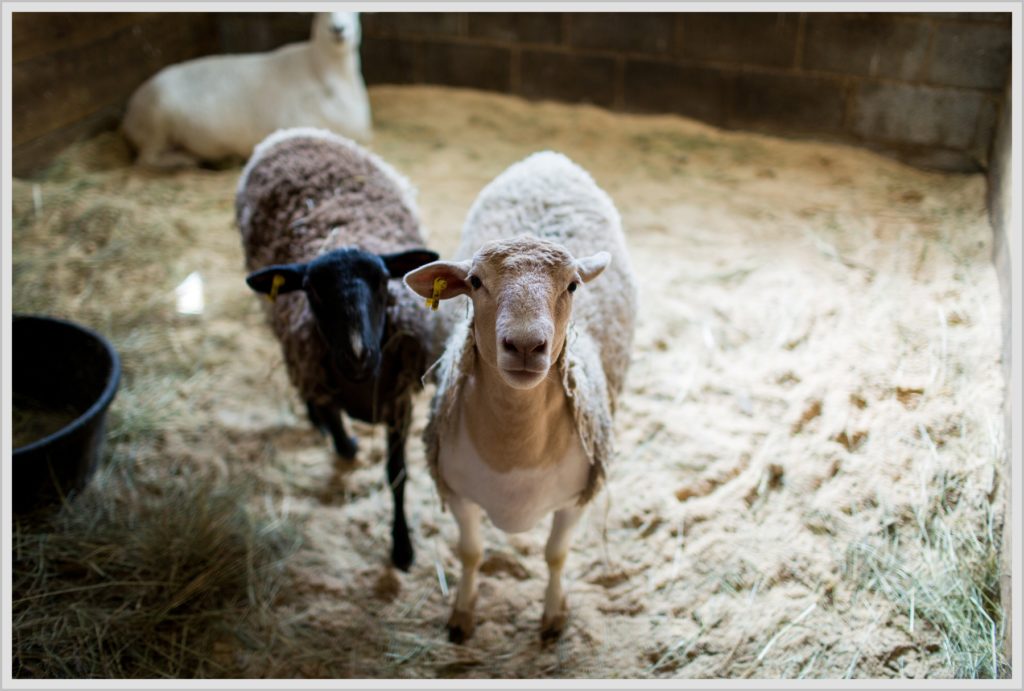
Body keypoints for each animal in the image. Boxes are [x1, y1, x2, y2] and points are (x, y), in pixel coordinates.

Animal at [123, 12, 370, 168]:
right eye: (320, 13)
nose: (337, 29)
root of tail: (129, 115)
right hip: (157, 123)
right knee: (146, 159)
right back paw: (184, 161)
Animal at [237, 128, 438, 573]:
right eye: (312, 289)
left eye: (382, 280)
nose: (358, 355)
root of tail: (296, 132)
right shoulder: (317, 370)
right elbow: (342, 439)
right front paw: (341, 438)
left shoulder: (399, 403)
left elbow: (397, 474)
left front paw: (402, 548)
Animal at [403, 151, 634, 642]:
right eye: (474, 281)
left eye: (572, 285)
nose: (526, 346)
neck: (516, 445)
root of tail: (548, 158)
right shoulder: (458, 494)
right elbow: (471, 552)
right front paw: (462, 614)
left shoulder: (575, 500)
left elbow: (555, 555)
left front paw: (553, 617)